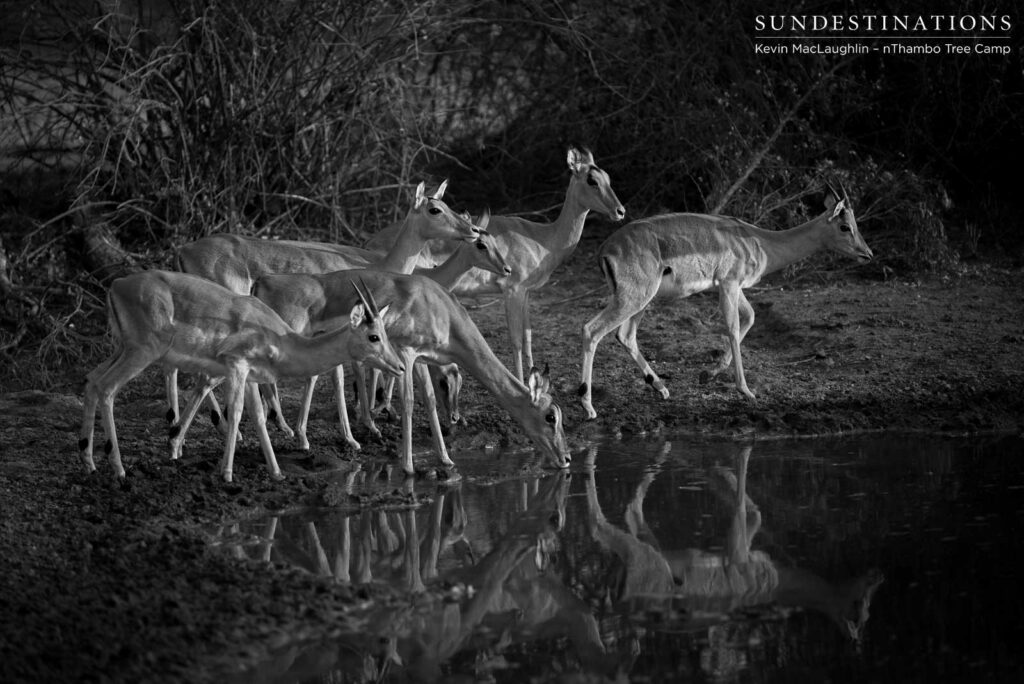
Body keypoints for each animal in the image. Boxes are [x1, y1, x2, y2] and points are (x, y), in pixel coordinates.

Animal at [78, 271, 403, 482]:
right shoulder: (236, 366)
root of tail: (117, 285)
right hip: (142, 351)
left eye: (385, 334)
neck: (279, 338)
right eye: (373, 336)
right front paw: (227, 473)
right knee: (107, 388)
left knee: (92, 380)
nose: (399, 366)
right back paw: (119, 468)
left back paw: (90, 462)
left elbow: (258, 417)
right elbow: (235, 414)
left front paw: (276, 472)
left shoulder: (251, 376)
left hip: (122, 348)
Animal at [169, 180, 480, 434]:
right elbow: (357, 369)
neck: (376, 266)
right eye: (435, 209)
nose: (474, 230)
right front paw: (370, 420)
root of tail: (183, 250)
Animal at [248, 269, 570, 475]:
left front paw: (446, 459)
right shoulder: (407, 352)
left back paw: (312, 439)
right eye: (550, 416)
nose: (566, 458)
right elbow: (409, 402)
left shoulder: (425, 358)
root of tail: (262, 281)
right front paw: (409, 466)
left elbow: (429, 400)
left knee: (316, 376)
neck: (442, 311)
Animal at [365, 147, 626, 382]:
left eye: (608, 177)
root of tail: (372, 242)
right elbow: (516, 340)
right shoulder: (512, 291)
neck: (543, 240)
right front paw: (522, 381)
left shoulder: (527, 294)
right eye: (591, 179)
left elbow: (528, 337)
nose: (620, 211)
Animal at [578, 182, 873, 419]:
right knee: (592, 330)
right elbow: (732, 327)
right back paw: (588, 406)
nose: (867, 254)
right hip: (634, 298)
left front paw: (708, 374)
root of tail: (605, 249)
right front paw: (746, 391)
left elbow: (750, 317)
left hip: (641, 300)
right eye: (845, 226)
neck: (761, 242)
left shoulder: (734, 286)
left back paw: (661, 388)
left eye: (855, 225)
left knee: (625, 335)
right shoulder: (729, 284)